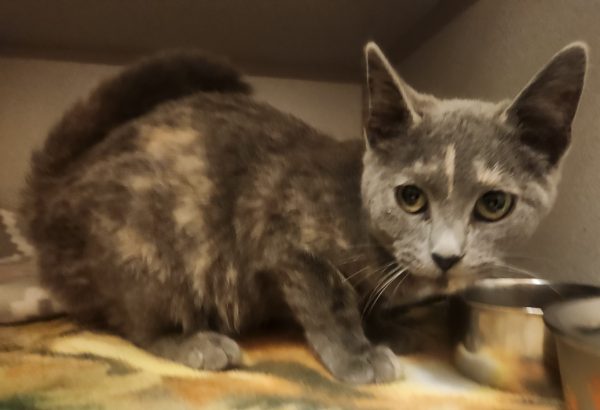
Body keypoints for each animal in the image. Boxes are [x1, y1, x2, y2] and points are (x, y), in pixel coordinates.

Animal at [20, 41, 587, 384]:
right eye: (411, 198)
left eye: (494, 204)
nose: (447, 257)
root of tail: (55, 196)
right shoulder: (283, 236)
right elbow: (330, 297)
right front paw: (358, 354)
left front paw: (385, 327)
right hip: (151, 243)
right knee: (129, 321)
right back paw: (193, 342)